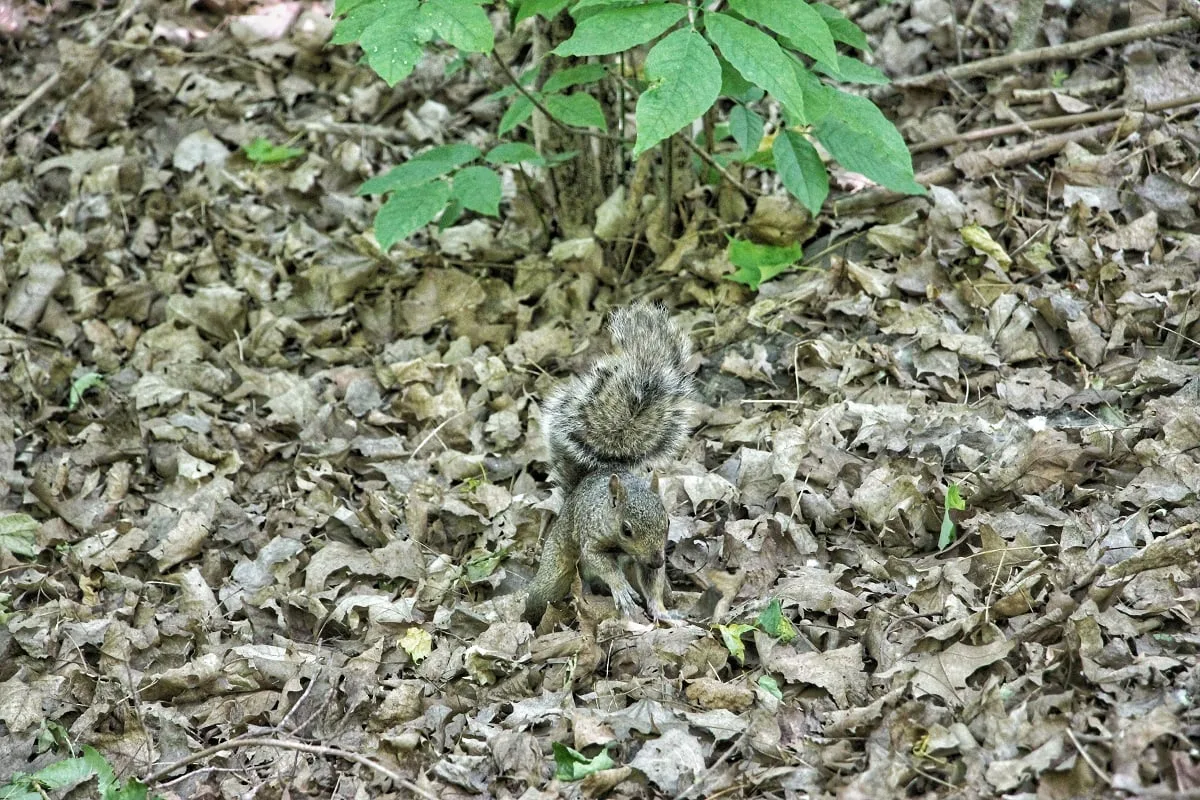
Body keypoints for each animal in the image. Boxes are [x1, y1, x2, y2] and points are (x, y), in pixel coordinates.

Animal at [523, 302, 694, 624]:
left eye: (668, 521)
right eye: (626, 529)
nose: (657, 561)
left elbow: (652, 585)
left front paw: (662, 611)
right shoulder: (591, 538)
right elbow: (602, 564)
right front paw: (622, 590)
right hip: (557, 564)